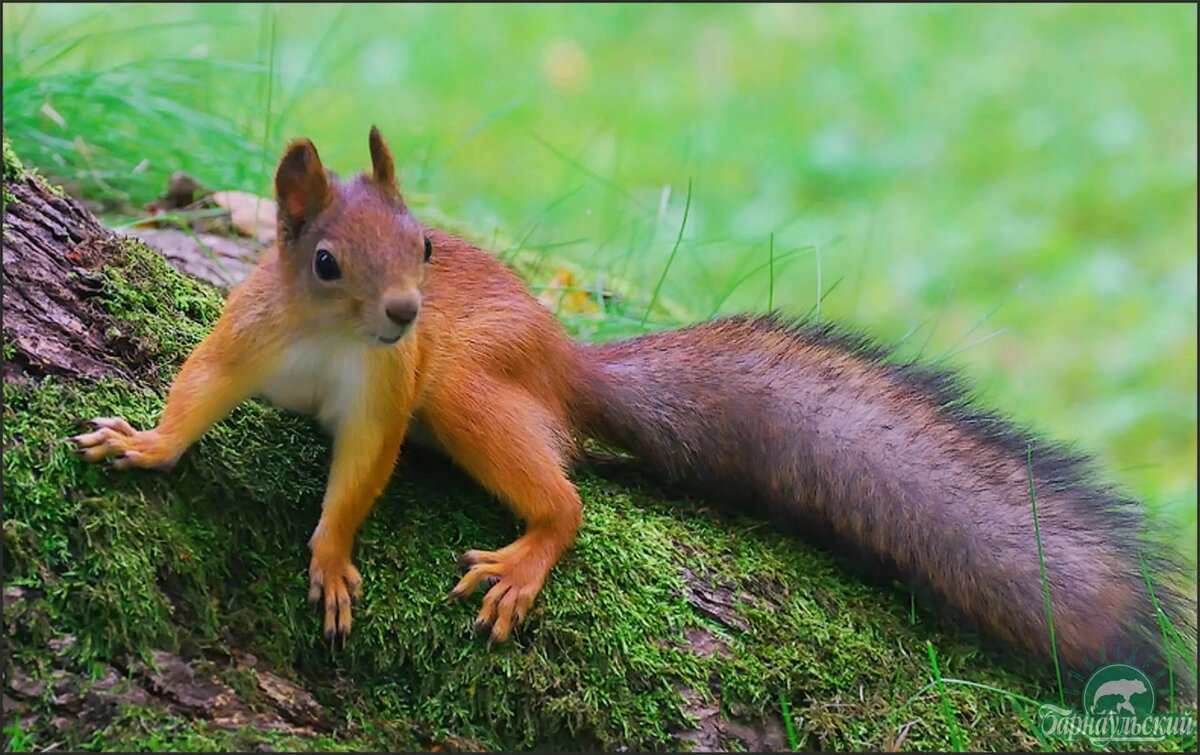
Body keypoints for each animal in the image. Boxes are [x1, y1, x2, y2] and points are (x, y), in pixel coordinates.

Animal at [71, 127, 1194, 686]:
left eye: (426, 244)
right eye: (325, 260)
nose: (406, 312)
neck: (333, 342)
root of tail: (565, 359)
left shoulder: (390, 391)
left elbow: (361, 474)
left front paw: (334, 556)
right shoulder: (247, 334)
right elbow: (198, 391)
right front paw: (146, 443)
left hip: (467, 387)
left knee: (564, 496)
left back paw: (528, 555)